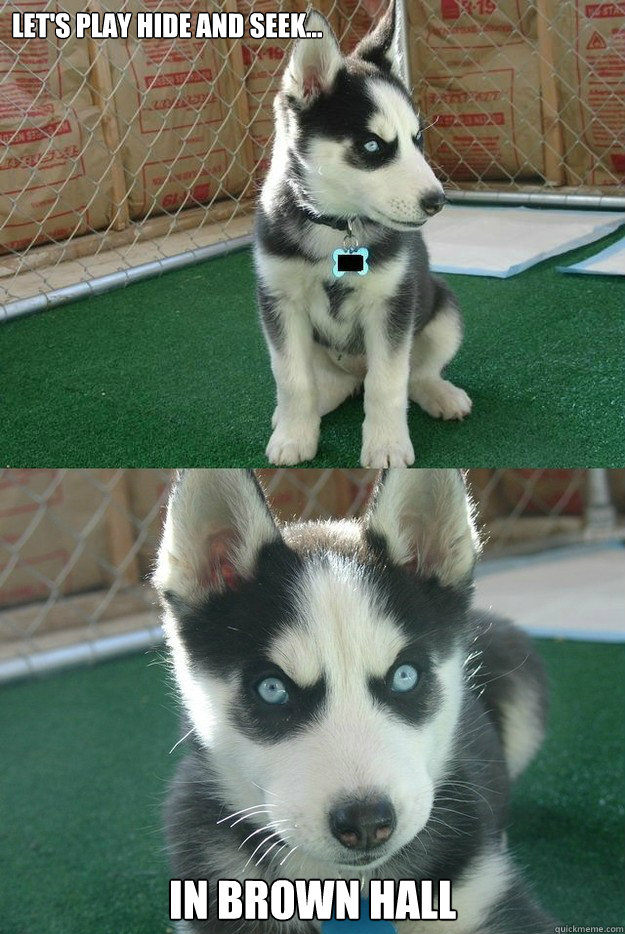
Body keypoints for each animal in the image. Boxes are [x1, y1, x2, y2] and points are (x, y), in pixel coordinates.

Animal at [256, 0, 470, 468]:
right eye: (372, 146)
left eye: (417, 139)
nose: (437, 201)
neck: (337, 225)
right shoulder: (280, 302)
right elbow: (292, 379)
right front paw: (294, 436)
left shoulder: (391, 305)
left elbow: (387, 383)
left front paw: (386, 445)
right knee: (327, 384)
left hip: (443, 311)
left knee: (414, 374)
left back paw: (440, 394)